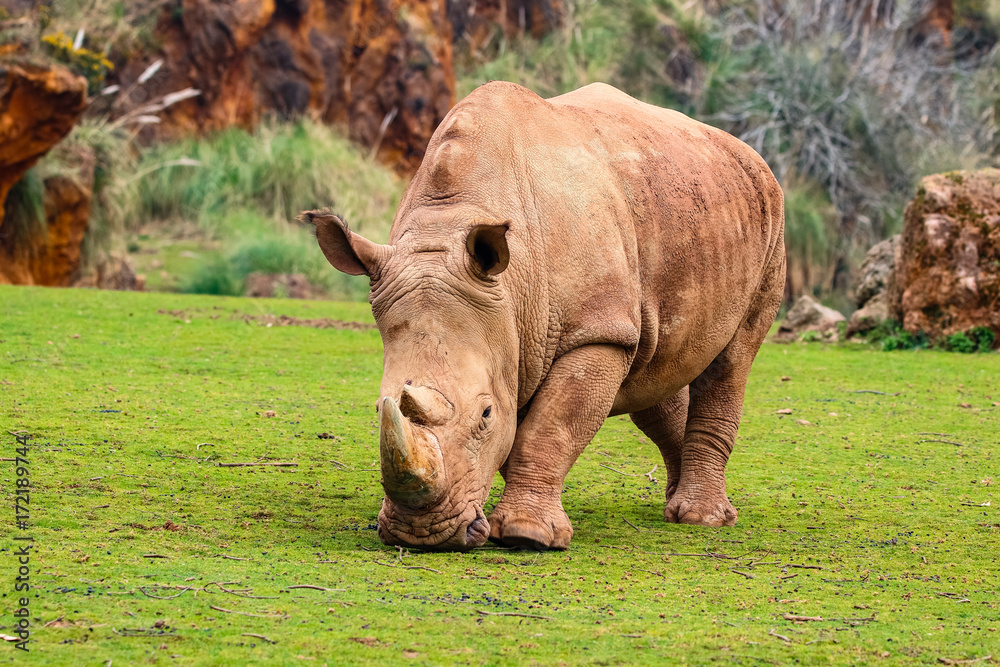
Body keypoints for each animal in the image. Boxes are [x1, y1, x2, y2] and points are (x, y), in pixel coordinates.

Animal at [307, 82, 785, 551]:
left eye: (484, 415)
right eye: (377, 407)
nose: (422, 535)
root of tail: (745, 151)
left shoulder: (594, 330)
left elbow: (549, 427)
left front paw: (528, 535)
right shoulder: (517, 333)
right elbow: (522, 432)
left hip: (770, 217)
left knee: (733, 358)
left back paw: (702, 519)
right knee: (652, 369)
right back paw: (676, 504)